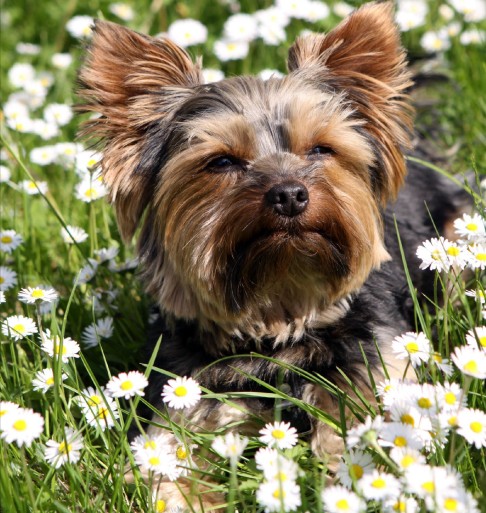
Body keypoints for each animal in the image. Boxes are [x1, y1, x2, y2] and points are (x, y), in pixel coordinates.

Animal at [78, 2, 468, 508]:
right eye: (222, 161)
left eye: (321, 148)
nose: (289, 194)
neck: (279, 322)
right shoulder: (184, 407)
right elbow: (168, 480)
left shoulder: (372, 377)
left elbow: (362, 450)